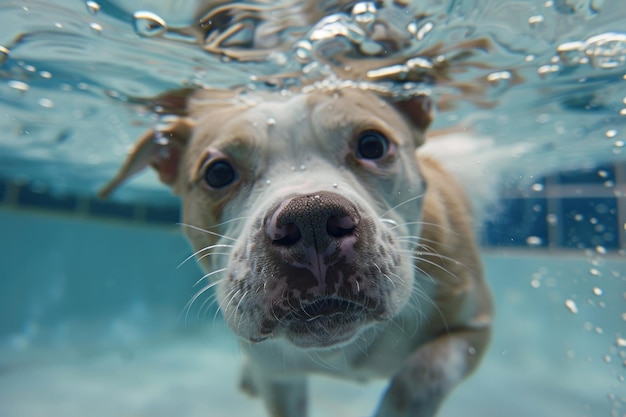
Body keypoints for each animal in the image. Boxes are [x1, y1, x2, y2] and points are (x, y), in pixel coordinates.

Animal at [100, 84, 490, 416]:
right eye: (218, 172)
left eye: (372, 145)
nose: (311, 218)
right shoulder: (279, 380)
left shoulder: (475, 327)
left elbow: (420, 376)